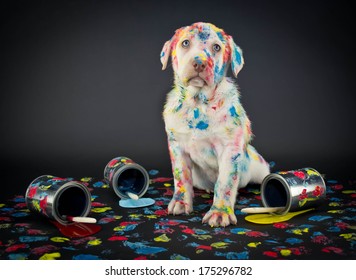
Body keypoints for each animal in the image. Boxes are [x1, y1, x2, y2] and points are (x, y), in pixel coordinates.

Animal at [161, 22, 270, 228]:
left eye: (217, 47)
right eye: (185, 43)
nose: (199, 63)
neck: (197, 104)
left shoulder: (230, 150)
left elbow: (225, 182)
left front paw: (220, 213)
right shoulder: (177, 146)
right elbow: (181, 178)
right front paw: (180, 202)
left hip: (258, 165)